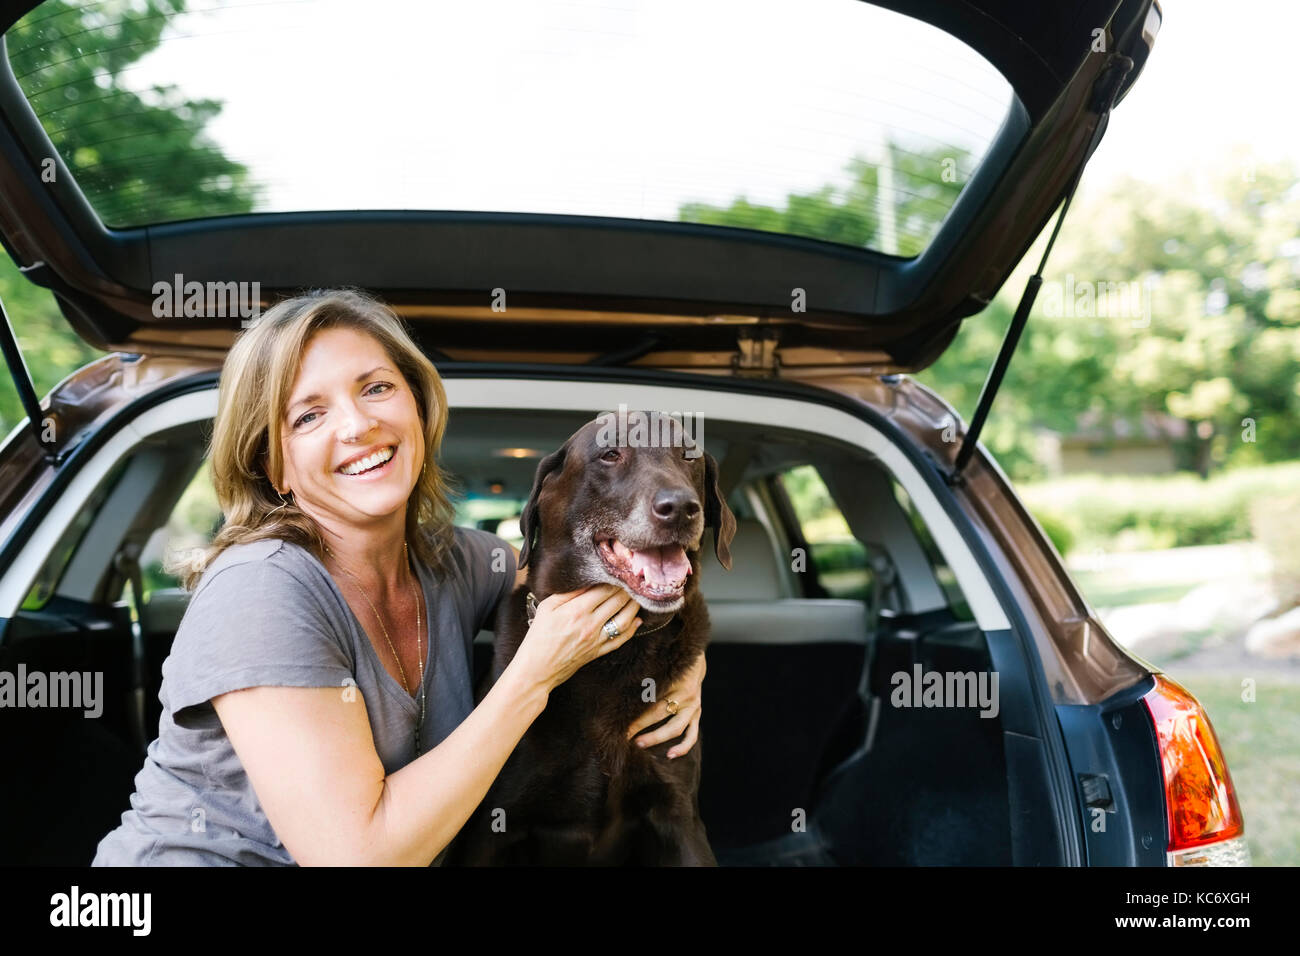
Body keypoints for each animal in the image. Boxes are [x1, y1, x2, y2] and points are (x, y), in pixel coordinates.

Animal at [447, 411, 733, 868]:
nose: (681, 508)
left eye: (690, 456)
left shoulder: (680, 815)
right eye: (611, 454)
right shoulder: (488, 830)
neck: (614, 652)